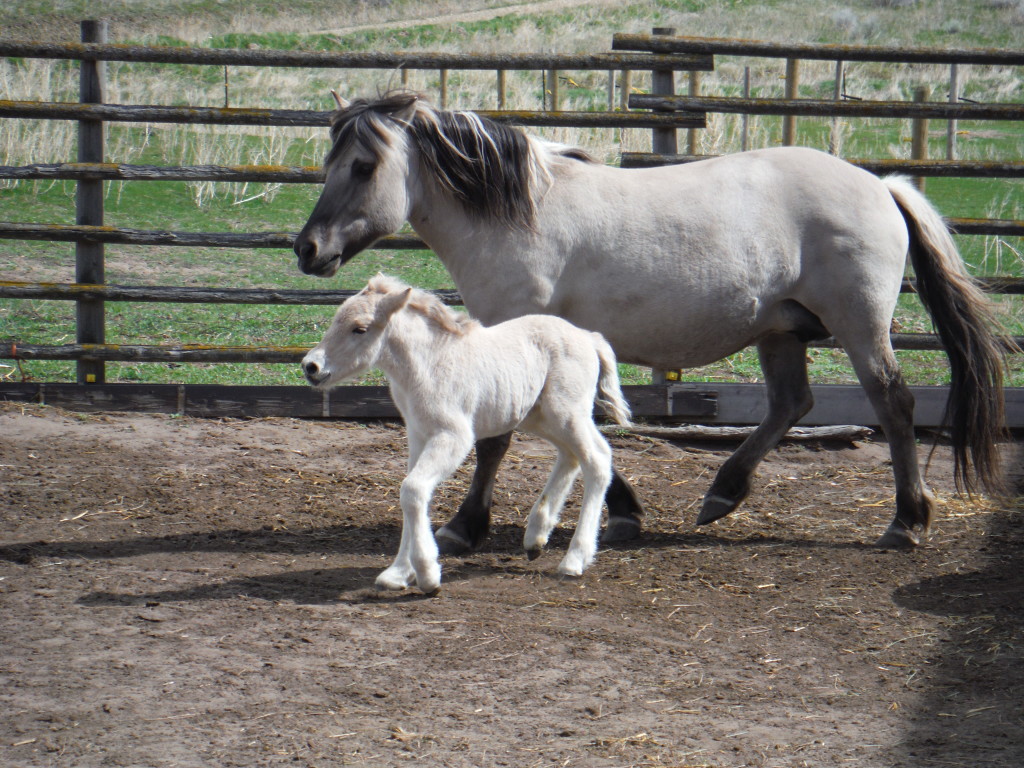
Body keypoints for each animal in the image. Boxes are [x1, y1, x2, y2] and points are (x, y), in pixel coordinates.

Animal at [293, 91, 1007, 552]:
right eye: (331, 164)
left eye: (363, 166)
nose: (307, 248)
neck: (518, 218)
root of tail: (880, 184)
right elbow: (583, 431)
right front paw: (624, 513)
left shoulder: (517, 336)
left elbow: (500, 438)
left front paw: (464, 527)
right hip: (779, 330)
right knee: (790, 404)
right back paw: (722, 494)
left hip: (859, 327)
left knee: (893, 404)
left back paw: (907, 522)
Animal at [302, 273, 631, 593]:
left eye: (359, 329)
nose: (310, 366)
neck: (427, 366)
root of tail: (589, 337)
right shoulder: (418, 435)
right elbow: (413, 492)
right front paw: (397, 573)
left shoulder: (453, 436)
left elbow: (412, 490)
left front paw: (427, 574)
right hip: (538, 417)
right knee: (571, 455)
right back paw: (536, 537)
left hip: (567, 413)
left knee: (597, 459)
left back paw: (574, 559)